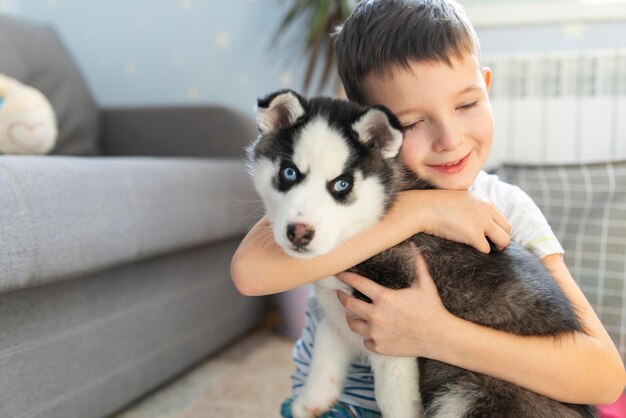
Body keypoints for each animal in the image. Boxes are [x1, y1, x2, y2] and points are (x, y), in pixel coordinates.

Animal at [246, 89, 592, 418]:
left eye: (342, 184)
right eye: (289, 173)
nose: (299, 232)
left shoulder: (391, 322)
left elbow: (392, 396)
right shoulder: (337, 305)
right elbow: (325, 346)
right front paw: (311, 401)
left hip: (468, 394)